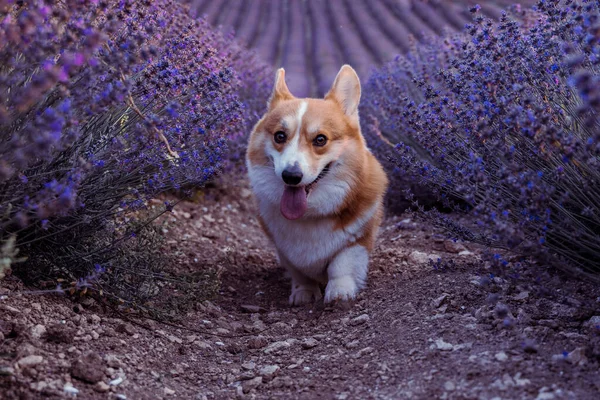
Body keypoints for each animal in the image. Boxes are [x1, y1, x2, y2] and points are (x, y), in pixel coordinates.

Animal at [246, 65, 386, 304]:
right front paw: (304, 292)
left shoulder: (358, 239)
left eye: (320, 139)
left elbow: (342, 264)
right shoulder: (284, 250)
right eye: (279, 136)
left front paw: (339, 292)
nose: (291, 175)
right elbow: (299, 271)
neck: (309, 215)